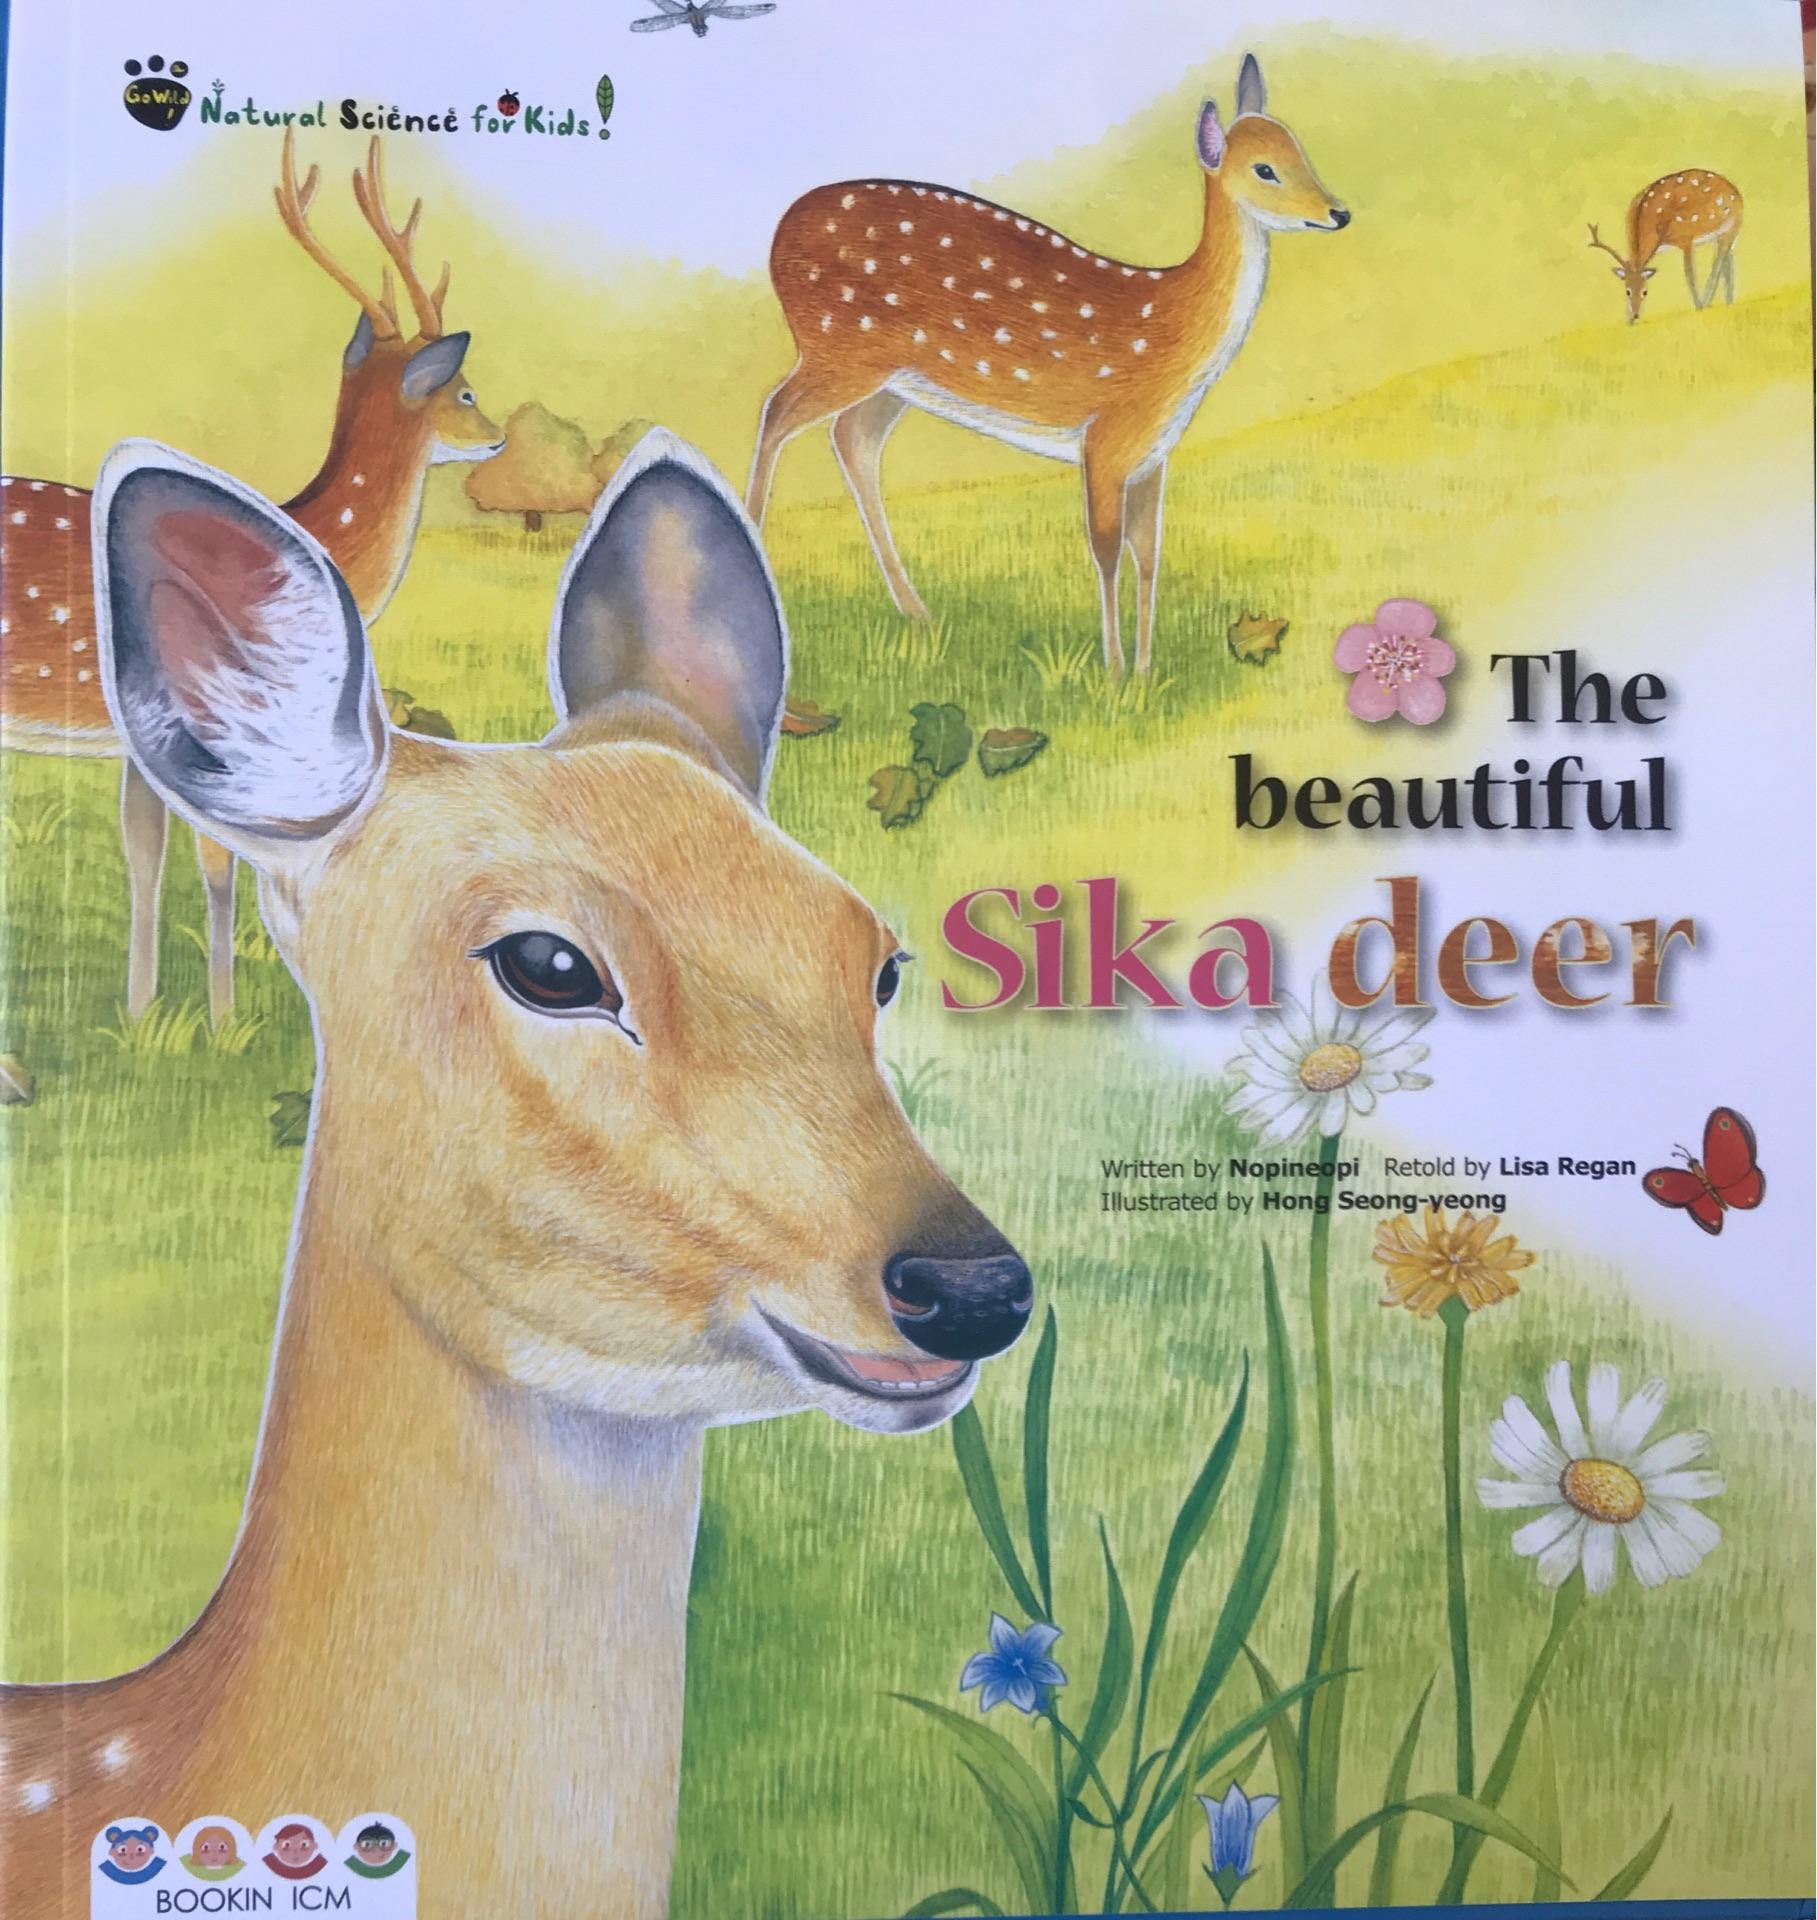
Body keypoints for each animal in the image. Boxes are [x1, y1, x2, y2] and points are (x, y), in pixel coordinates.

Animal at [0, 131, 503, 1029]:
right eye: (467, 391)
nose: (500, 433)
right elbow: (216, 864)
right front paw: (224, 1021)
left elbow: (143, 852)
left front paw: (140, 1014)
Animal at [746, 54, 1347, 685]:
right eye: (1265, 170)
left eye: (1299, 151)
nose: (1338, 212)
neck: (1174, 334)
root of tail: (780, 233)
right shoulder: (1107, 439)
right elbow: (1106, 551)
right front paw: (1113, 675)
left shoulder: (1155, 453)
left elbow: (1148, 553)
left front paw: (1145, 671)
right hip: (837, 348)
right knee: (776, 412)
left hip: (893, 379)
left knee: (851, 440)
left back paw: (917, 612)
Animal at [1588, 170, 1743, 323]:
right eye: (1627, 292)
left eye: (1645, 292)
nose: (1635, 316)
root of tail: (1736, 192)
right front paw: (1627, 321)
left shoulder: (1686, 238)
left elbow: (1690, 274)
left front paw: (1698, 307)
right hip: (1725, 235)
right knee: (1728, 262)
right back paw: (1729, 303)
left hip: (1732, 226)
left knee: (1717, 263)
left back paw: (1706, 304)